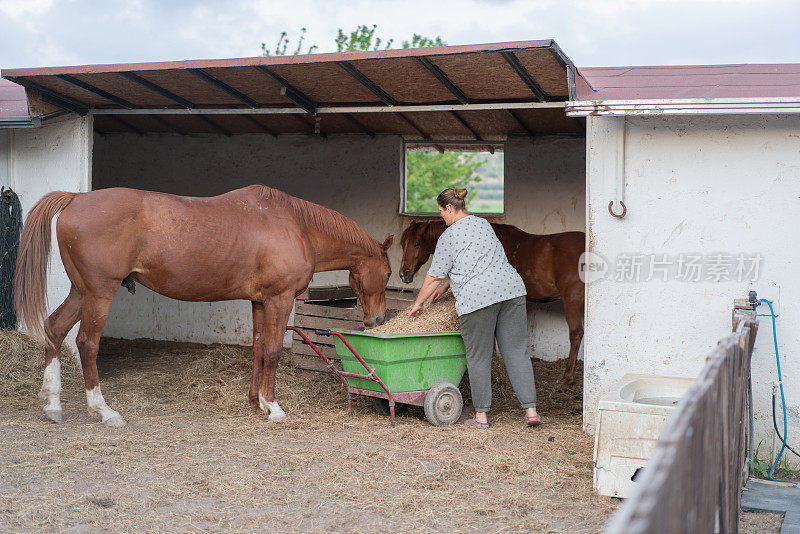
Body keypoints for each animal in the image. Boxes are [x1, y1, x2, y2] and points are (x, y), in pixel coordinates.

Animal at [15, 186, 394, 430]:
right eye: (388, 272)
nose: (377, 319)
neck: (295, 224)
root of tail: (77, 198)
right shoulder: (279, 299)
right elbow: (272, 350)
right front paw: (273, 407)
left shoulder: (259, 301)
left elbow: (258, 349)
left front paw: (256, 402)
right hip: (99, 293)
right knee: (86, 344)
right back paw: (103, 411)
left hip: (82, 292)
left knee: (54, 329)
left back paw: (52, 403)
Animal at [398, 222, 580, 386]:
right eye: (402, 244)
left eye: (416, 243)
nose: (403, 274)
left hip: (572, 300)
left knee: (576, 334)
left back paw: (567, 377)